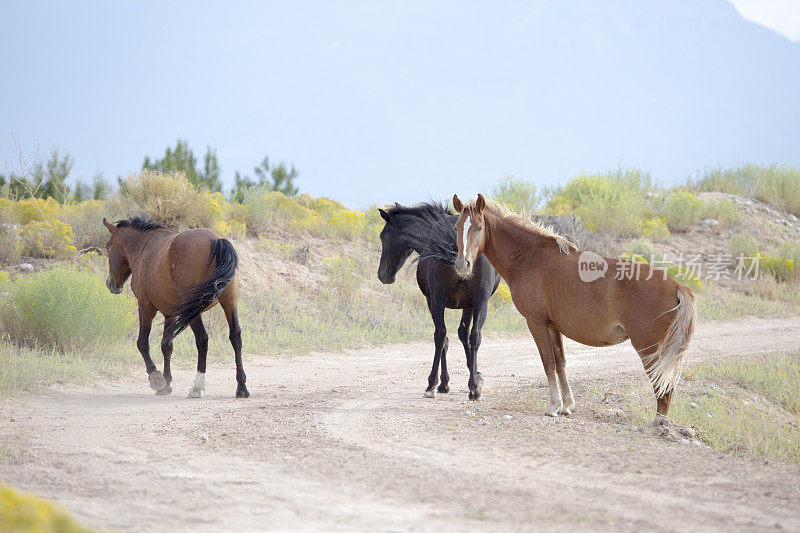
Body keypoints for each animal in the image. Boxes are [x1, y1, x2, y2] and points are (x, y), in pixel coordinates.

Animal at [103, 214, 248, 396]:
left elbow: (142, 343)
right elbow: (166, 346)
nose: (110, 284)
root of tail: (216, 240)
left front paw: (156, 377)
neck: (145, 247)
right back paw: (241, 387)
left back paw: (197, 387)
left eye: (108, 247)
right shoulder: (169, 313)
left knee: (202, 339)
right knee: (235, 336)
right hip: (229, 302)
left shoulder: (145, 306)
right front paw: (166, 384)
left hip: (194, 309)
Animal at [376, 202, 500, 396]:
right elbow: (462, 335)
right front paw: (474, 376)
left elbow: (452, 337)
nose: (383, 275)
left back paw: (432, 384)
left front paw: (450, 381)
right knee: (472, 335)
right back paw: (471, 387)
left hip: (439, 300)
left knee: (442, 335)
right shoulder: (468, 303)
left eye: (382, 236)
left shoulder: (433, 300)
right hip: (479, 301)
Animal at [454, 193, 696, 418]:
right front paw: (567, 405)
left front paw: (553, 406)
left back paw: (659, 423)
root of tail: (676, 286)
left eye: (479, 227)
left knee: (661, 382)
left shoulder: (536, 322)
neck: (529, 258)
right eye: (457, 227)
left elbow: (548, 362)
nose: (463, 265)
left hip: (649, 348)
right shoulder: (553, 326)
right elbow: (560, 362)